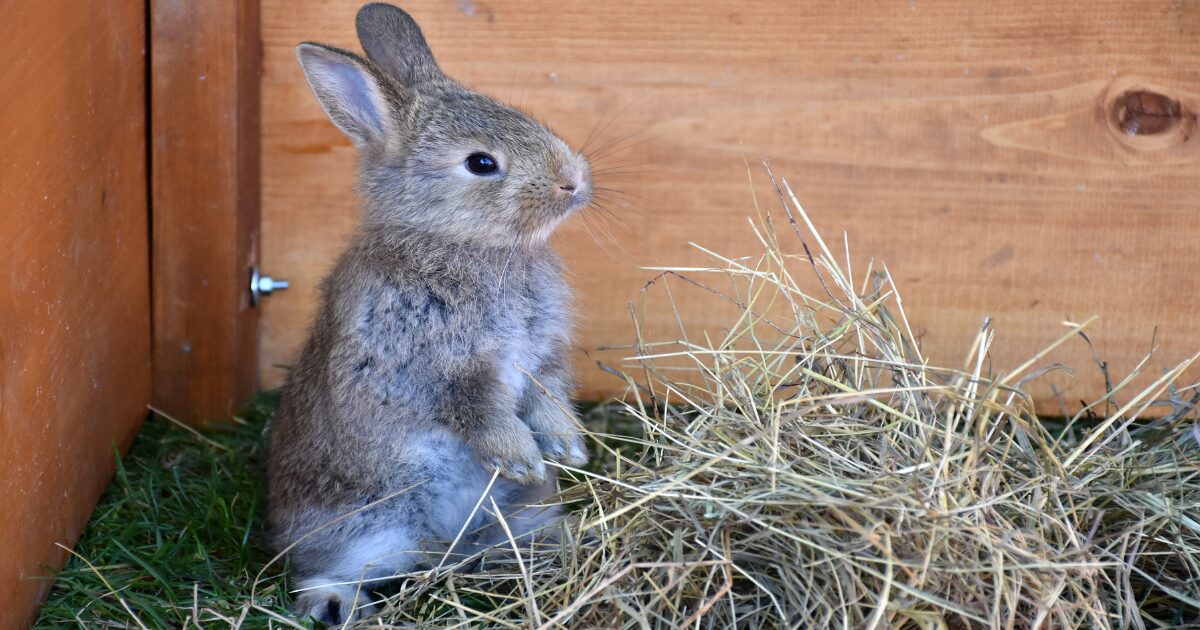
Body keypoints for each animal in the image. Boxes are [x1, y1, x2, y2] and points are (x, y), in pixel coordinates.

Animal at [268, 3, 595, 624]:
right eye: (482, 163)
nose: (573, 182)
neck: (456, 243)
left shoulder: (543, 357)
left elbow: (549, 395)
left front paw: (568, 449)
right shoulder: (425, 364)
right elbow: (476, 409)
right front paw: (521, 458)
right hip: (365, 526)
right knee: (321, 568)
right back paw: (338, 605)